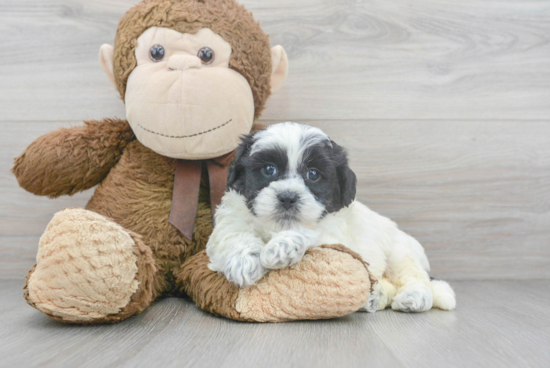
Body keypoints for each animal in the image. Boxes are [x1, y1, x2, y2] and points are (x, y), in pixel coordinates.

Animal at [207, 122, 458, 312]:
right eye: (269, 170)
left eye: (313, 174)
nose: (288, 197)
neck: (277, 227)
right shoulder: (230, 220)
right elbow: (234, 234)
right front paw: (244, 262)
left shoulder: (335, 237)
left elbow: (311, 233)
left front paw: (281, 247)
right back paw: (375, 297)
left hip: (402, 252)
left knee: (415, 278)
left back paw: (414, 297)